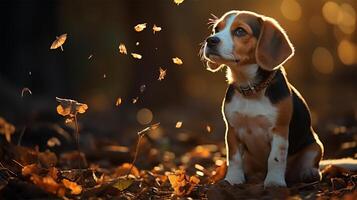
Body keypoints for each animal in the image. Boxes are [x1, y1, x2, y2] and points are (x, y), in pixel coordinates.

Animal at [203, 10, 322, 187]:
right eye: (216, 29)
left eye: (240, 31)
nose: (210, 40)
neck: (250, 89)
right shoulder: (232, 130)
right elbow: (234, 159)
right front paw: (233, 180)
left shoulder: (280, 130)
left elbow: (275, 159)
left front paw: (274, 183)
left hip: (315, 146)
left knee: (310, 163)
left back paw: (308, 173)